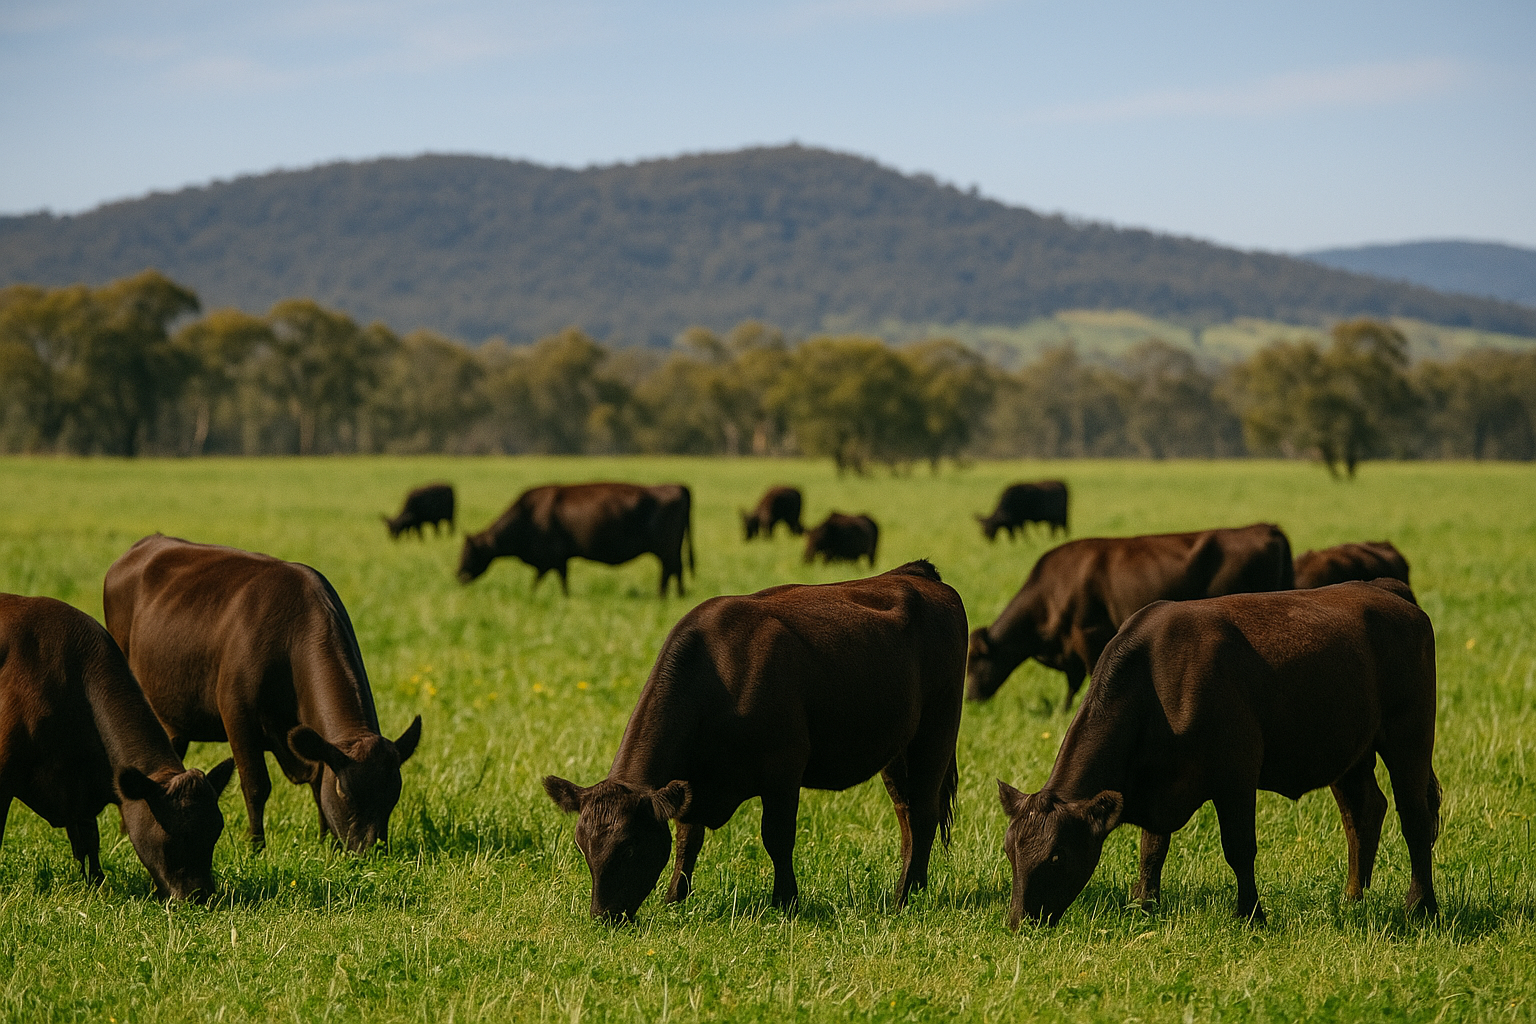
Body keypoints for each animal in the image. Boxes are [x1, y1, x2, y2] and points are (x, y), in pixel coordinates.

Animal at [103, 535, 423, 853]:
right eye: (345, 793)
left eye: (393, 796)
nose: (372, 851)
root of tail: (147, 542)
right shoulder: (237, 713)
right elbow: (256, 785)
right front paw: (256, 847)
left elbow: (317, 780)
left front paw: (324, 843)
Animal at [457, 483, 694, 597]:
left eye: (469, 553)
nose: (458, 575)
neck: (530, 515)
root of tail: (676, 486)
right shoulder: (555, 559)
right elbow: (548, 578)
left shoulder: (553, 556)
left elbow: (550, 579)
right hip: (671, 549)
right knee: (677, 569)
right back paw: (677, 594)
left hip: (666, 549)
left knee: (669, 570)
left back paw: (662, 595)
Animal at [543, 560, 967, 922]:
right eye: (582, 846)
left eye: (630, 846)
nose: (604, 916)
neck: (717, 677)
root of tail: (916, 573)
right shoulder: (692, 783)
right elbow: (687, 839)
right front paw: (674, 898)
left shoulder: (783, 770)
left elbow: (777, 837)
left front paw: (786, 902)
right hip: (896, 749)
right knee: (905, 813)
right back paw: (914, 887)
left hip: (937, 731)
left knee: (924, 811)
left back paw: (902, 898)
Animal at [967, 524, 1293, 708]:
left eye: (975, 659)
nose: (969, 698)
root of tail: (1263, 528)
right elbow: (1072, 682)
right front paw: (1064, 708)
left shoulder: (1088, 634)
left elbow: (1086, 675)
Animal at [998, 579, 1439, 928]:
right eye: (1009, 851)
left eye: (1057, 857)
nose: (1020, 923)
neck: (1156, 685)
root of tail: (1384, 589)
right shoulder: (1158, 782)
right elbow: (1152, 850)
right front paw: (1143, 905)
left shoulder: (1237, 777)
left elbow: (1239, 849)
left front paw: (1251, 915)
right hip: (1349, 752)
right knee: (1362, 812)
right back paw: (1352, 899)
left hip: (1410, 736)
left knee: (1415, 818)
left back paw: (1421, 907)